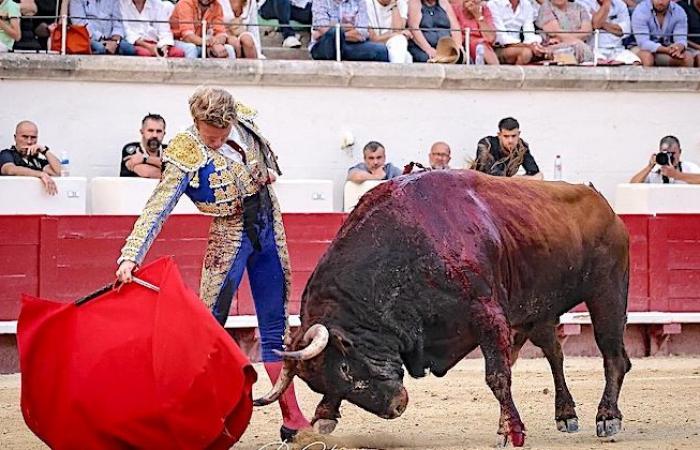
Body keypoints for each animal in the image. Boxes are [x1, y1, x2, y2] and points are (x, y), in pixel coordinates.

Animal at [254, 170, 632, 446]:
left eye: (345, 367)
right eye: (320, 383)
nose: (396, 406)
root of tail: (604, 205)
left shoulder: (487, 314)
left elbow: (497, 376)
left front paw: (511, 432)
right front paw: (323, 416)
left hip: (607, 292)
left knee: (613, 355)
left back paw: (607, 418)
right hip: (537, 310)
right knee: (554, 352)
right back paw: (566, 415)